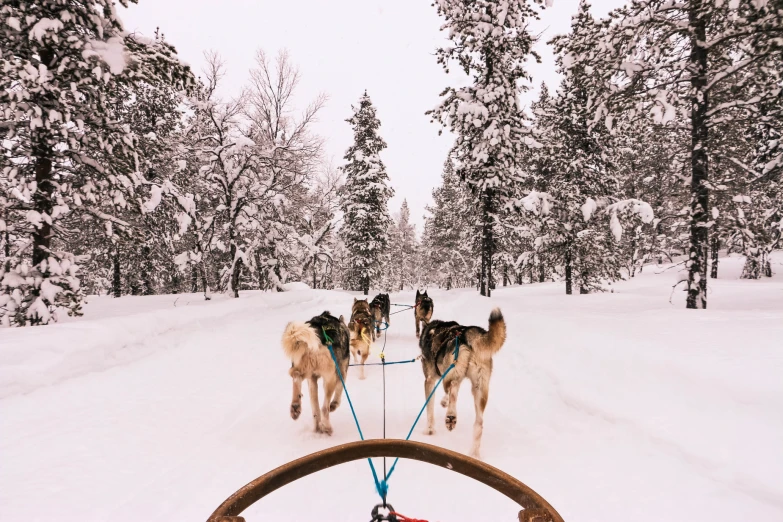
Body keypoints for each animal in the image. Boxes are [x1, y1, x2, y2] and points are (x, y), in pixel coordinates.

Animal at [416, 306, 508, 458]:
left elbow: (430, 409)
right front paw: (444, 401)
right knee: (479, 423)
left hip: (451, 374)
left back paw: (451, 417)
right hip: (479, 388)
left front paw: (429, 430)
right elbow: (446, 395)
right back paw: (474, 454)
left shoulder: (429, 380)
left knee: (452, 388)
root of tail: (467, 333)